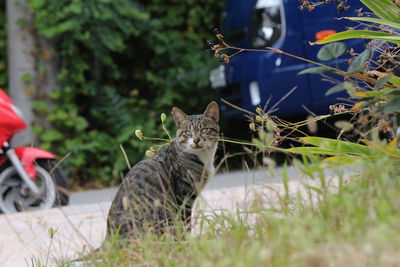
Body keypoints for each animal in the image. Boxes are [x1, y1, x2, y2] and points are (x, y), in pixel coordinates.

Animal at [104, 101, 219, 245]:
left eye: (204, 130)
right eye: (187, 132)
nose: (196, 140)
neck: (203, 157)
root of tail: (108, 241)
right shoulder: (184, 198)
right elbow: (185, 224)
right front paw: (187, 242)